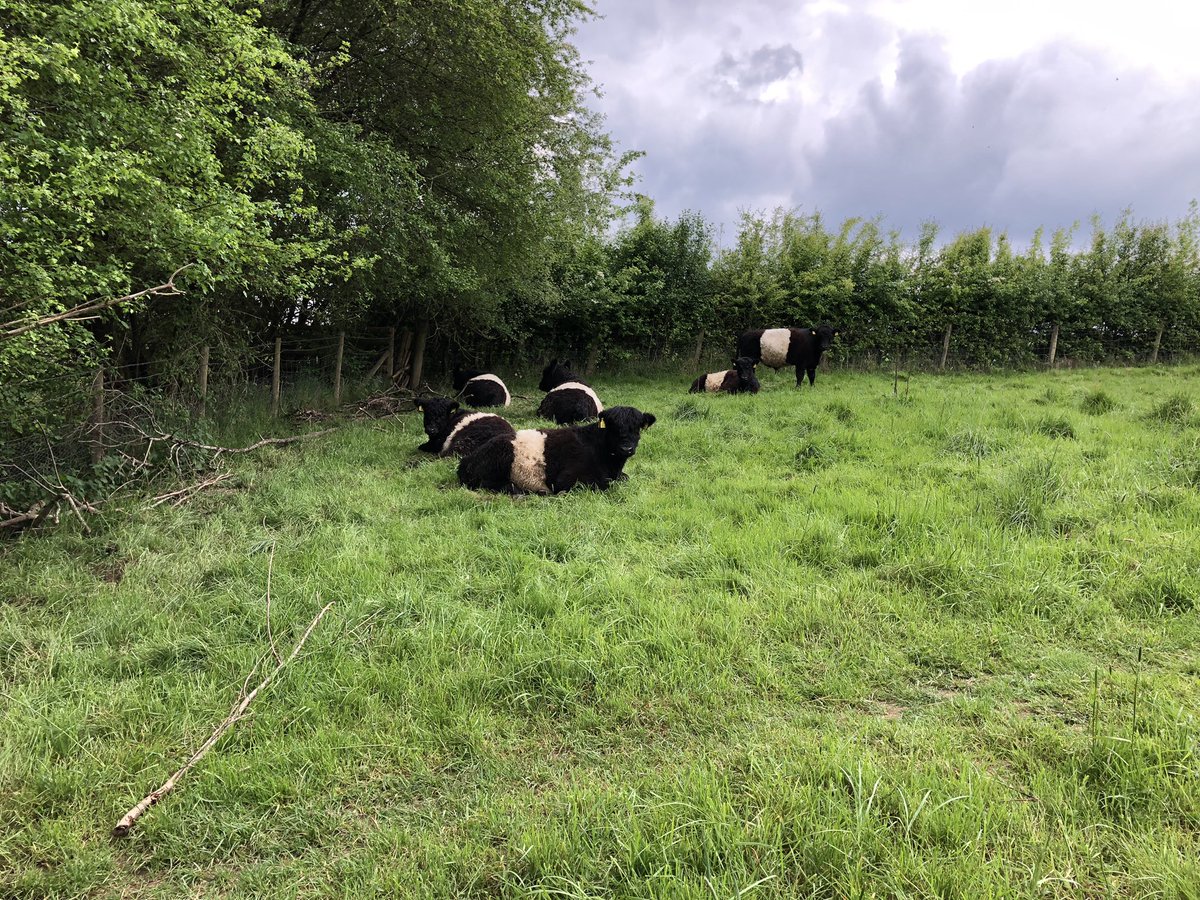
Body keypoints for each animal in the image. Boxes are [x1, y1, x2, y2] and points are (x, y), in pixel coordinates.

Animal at [457, 406, 656, 494]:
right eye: (613, 427)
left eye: (637, 428)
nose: (626, 448)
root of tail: (466, 460)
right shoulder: (566, 481)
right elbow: (602, 484)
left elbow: (624, 479)